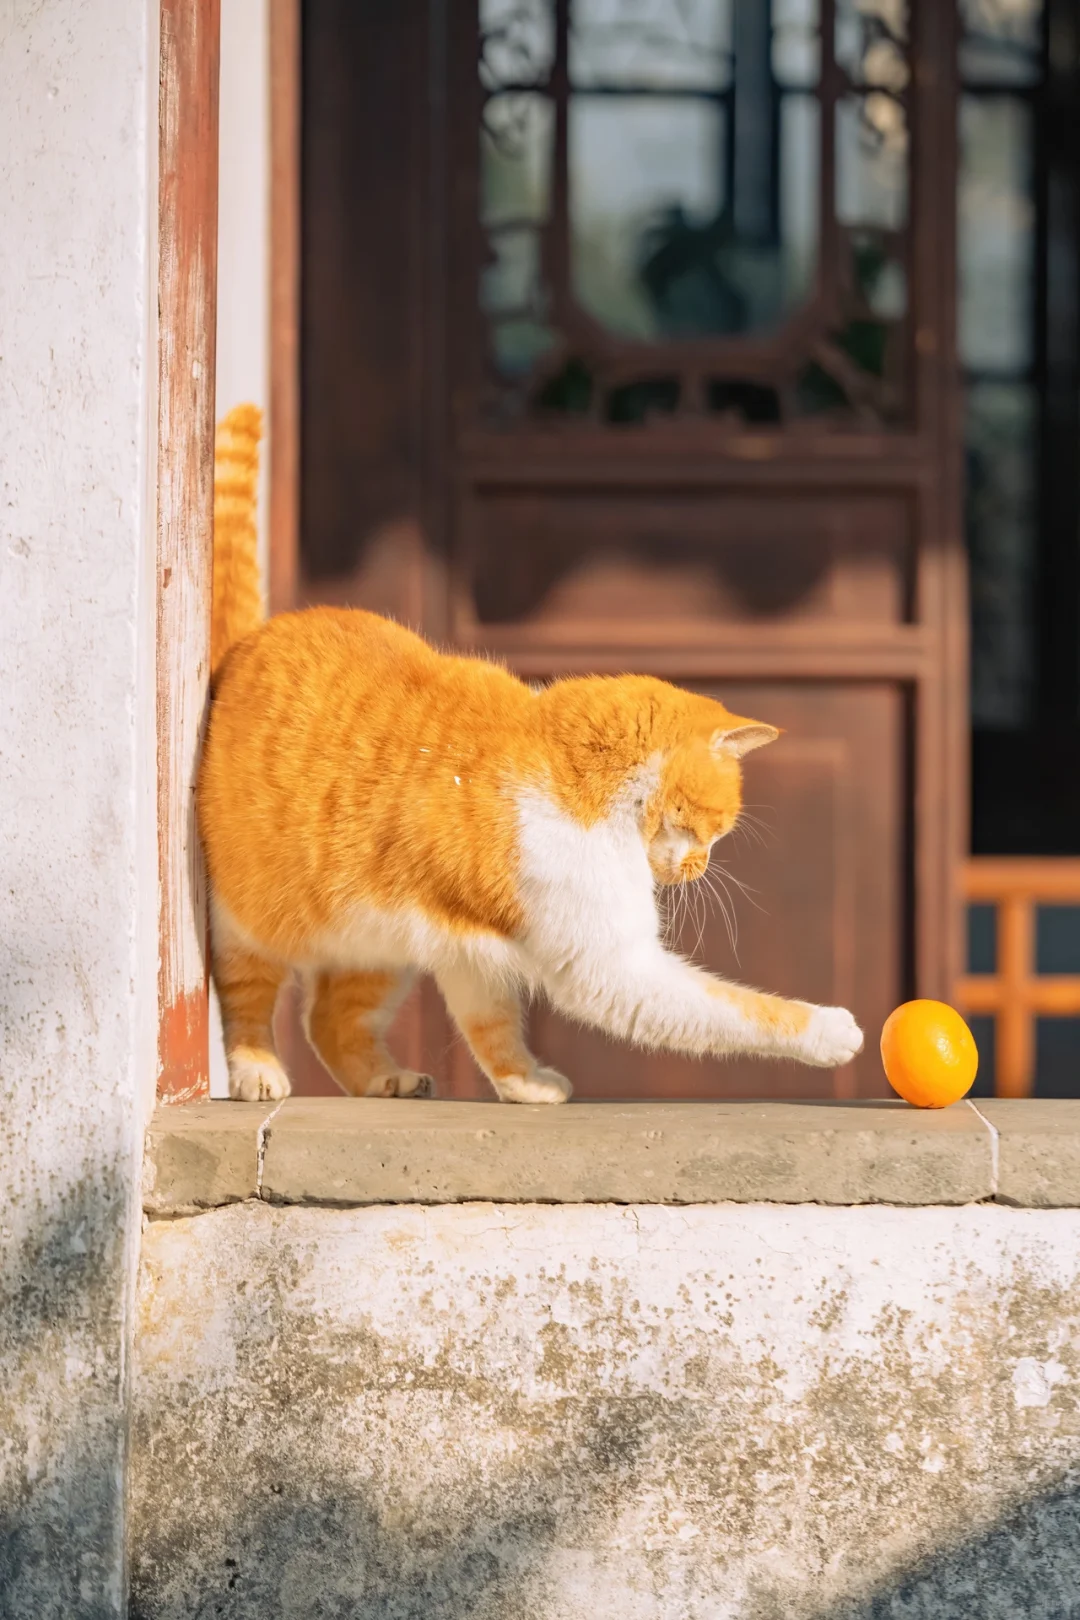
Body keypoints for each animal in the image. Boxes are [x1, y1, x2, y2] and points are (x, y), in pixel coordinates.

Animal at [200, 411, 861, 1108]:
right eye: (716, 828)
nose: (699, 869)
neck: (582, 771)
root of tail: (249, 642)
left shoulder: (467, 948)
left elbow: (492, 1023)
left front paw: (525, 1083)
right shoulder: (607, 964)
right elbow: (734, 1008)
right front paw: (829, 1030)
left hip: (379, 942)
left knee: (331, 1017)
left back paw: (386, 1079)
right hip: (255, 917)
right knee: (248, 994)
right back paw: (256, 1071)